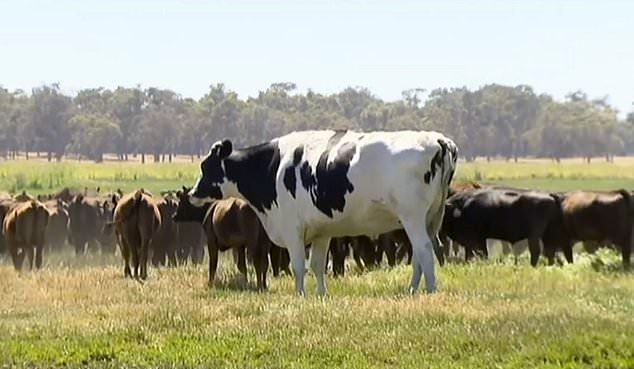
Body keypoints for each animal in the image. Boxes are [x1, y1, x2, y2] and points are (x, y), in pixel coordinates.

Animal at [186, 128, 454, 294]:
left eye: (205, 166)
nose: (192, 193)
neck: (273, 167)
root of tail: (437, 139)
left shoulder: (292, 228)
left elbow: (298, 265)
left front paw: (300, 295)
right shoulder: (322, 232)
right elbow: (316, 264)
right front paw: (321, 295)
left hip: (412, 217)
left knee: (424, 250)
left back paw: (430, 291)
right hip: (427, 219)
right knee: (420, 253)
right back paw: (413, 290)